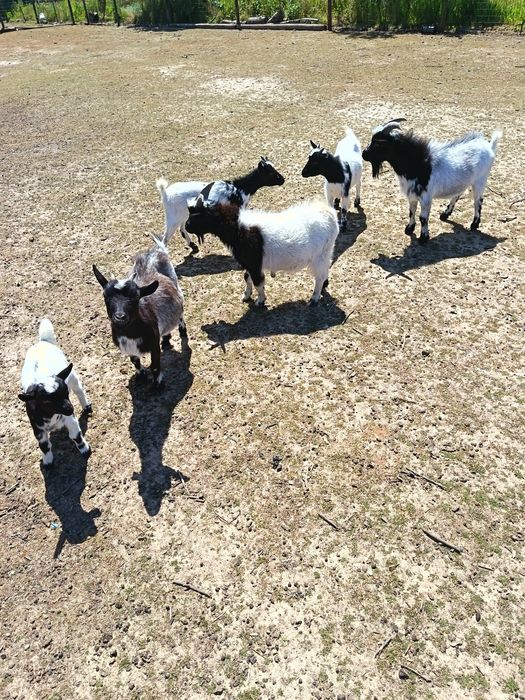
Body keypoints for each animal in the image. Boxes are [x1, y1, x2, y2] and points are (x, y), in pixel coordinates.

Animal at [19, 319, 91, 467]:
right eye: (47, 401)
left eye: (66, 393)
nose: (70, 408)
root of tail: (43, 341)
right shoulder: (38, 428)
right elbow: (44, 445)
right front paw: (48, 462)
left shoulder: (70, 418)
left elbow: (76, 436)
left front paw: (85, 450)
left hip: (72, 377)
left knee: (79, 389)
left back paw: (86, 406)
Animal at [93, 236, 185, 389]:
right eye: (106, 296)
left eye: (135, 297)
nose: (120, 317)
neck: (131, 334)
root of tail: (156, 251)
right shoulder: (130, 349)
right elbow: (135, 361)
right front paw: (141, 374)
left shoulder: (154, 345)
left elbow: (155, 366)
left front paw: (157, 385)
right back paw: (166, 339)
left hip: (176, 285)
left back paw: (182, 330)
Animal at [156, 157, 285, 252]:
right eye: (270, 172)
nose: (283, 179)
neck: (240, 187)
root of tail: (165, 193)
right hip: (173, 217)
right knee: (165, 239)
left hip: (182, 214)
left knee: (182, 228)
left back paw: (193, 245)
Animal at [185, 196, 338, 306]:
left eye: (198, 215)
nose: (186, 226)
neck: (238, 228)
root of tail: (329, 214)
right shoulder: (250, 263)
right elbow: (247, 278)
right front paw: (246, 296)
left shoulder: (253, 263)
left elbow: (258, 282)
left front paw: (260, 300)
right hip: (326, 253)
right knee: (325, 272)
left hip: (320, 256)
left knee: (319, 276)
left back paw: (314, 298)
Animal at [362, 119, 502, 243]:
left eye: (379, 143)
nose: (364, 154)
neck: (419, 164)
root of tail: (490, 146)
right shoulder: (412, 195)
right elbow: (411, 212)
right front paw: (409, 228)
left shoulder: (426, 197)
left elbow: (423, 218)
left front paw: (423, 238)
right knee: (457, 194)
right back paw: (446, 214)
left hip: (480, 180)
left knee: (478, 201)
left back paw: (474, 224)